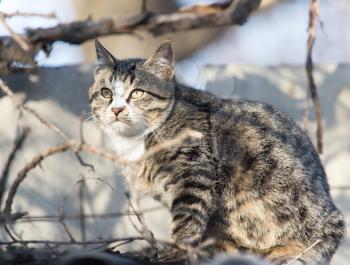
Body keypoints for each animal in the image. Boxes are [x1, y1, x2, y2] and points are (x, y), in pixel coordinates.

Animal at [88, 39, 344, 264]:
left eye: (138, 93)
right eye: (106, 93)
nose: (117, 109)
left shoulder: (194, 172)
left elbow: (186, 219)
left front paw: (178, 250)